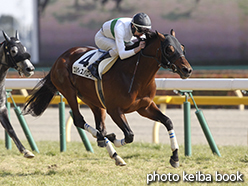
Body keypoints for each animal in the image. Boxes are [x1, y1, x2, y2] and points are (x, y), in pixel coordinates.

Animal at [0, 30, 35, 158]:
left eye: (24, 48)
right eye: (13, 51)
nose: (30, 69)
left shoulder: (1, 107)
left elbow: (10, 129)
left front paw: (26, 151)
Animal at [24, 29, 193, 167]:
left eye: (182, 47)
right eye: (169, 49)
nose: (188, 70)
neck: (134, 74)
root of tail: (60, 58)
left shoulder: (144, 107)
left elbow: (168, 121)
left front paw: (175, 157)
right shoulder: (115, 110)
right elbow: (129, 135)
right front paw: (115, 139)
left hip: (94, 101)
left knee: (99, 126)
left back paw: (114, 152)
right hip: (69, 92)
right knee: (80, 120)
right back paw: (111, 144)